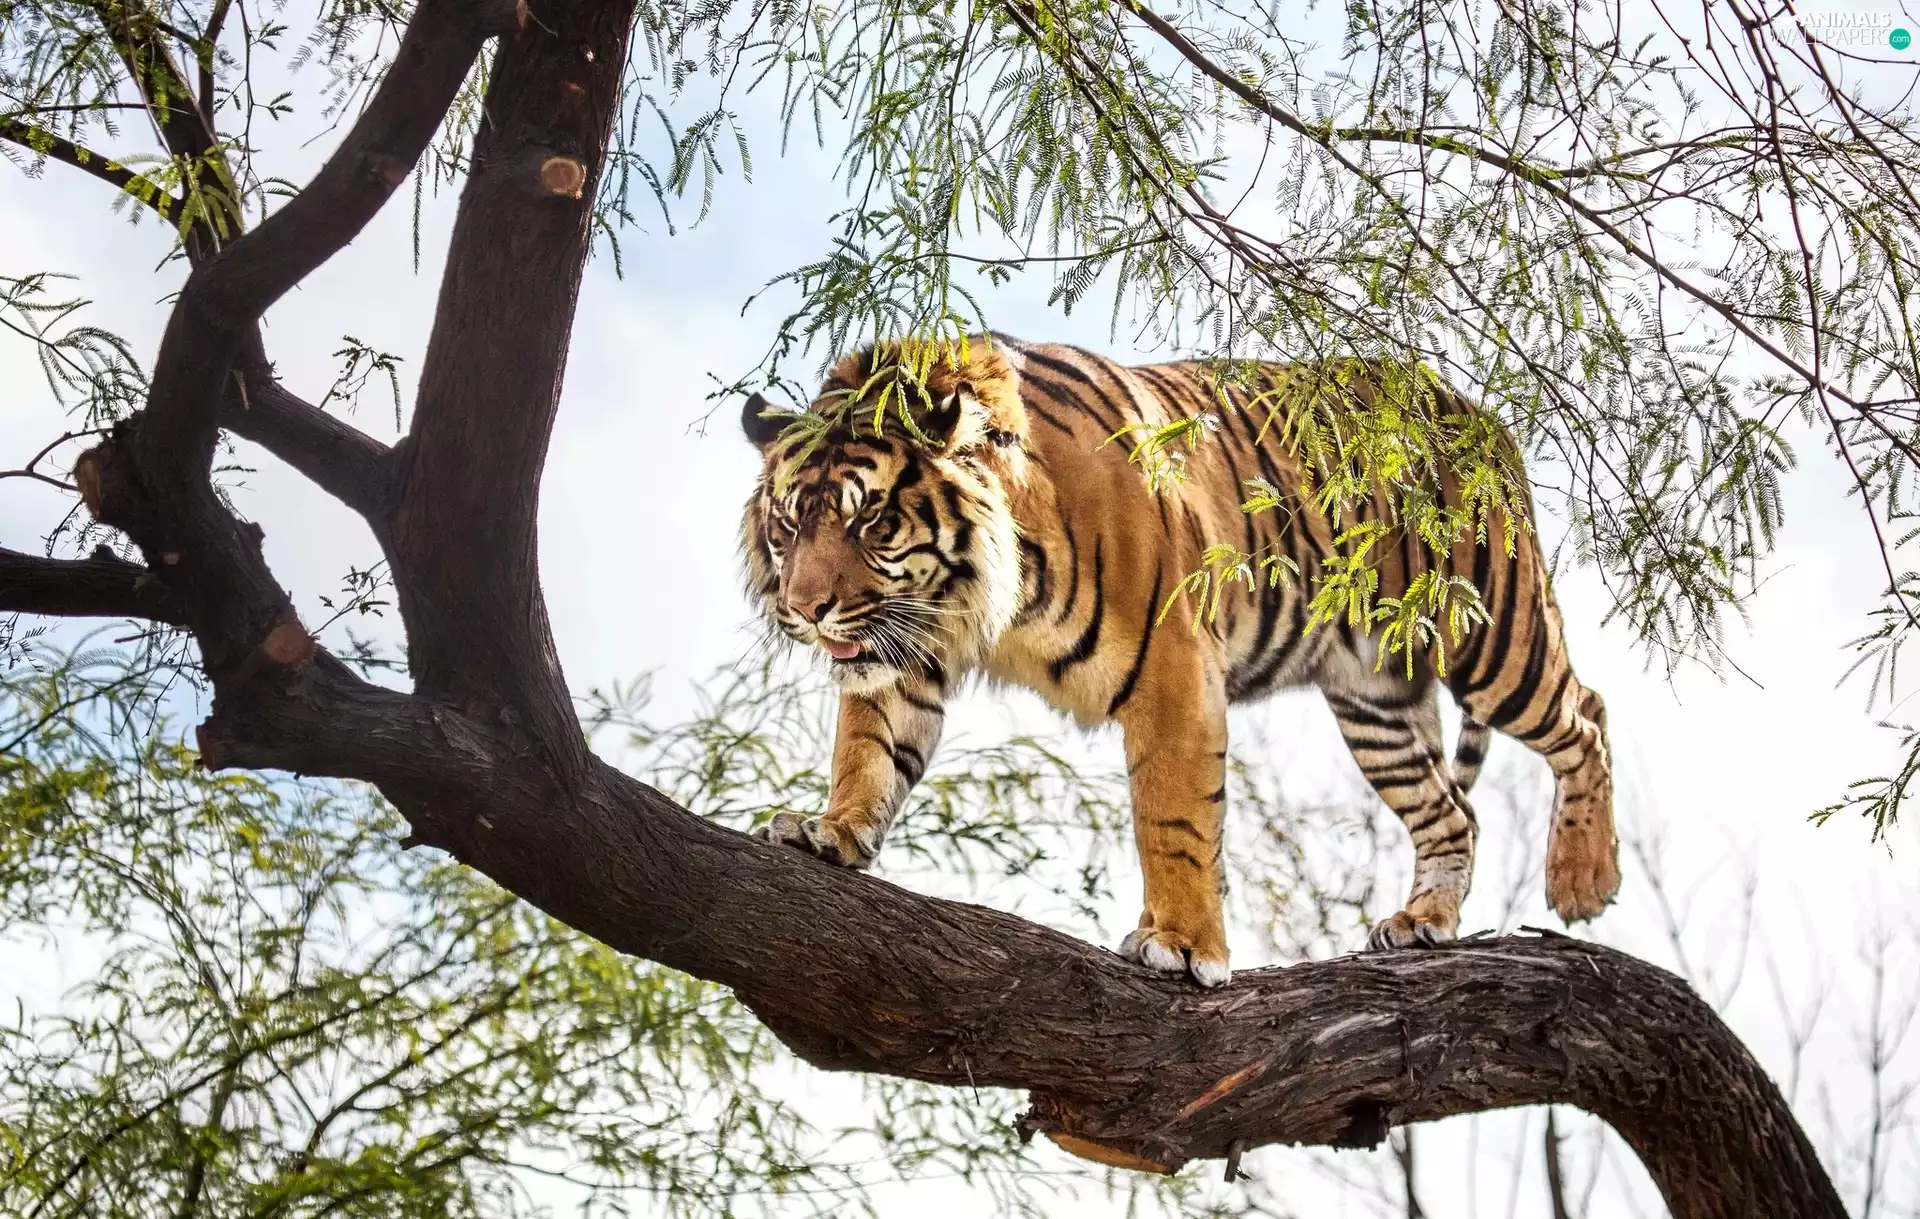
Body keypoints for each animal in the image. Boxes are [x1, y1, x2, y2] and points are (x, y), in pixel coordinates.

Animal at [739, 335, 1617, 987]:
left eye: (871, 521)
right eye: (789, 524)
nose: (805, 608)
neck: (982, 595)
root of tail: (1481, 414)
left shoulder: (1173, 670)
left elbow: (1175, 819)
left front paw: (1187, 947)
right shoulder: (905, 647)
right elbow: (868, 750)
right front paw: (829, 830)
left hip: (1491, 637)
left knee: (1586, 715)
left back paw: (1582, 878)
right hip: (1375, 702)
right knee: (1452, 811)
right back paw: (1423, 922)